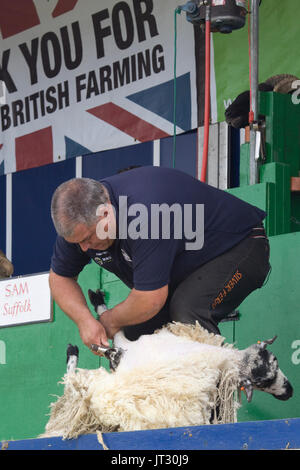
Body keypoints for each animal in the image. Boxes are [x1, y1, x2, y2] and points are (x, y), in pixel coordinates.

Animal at [39, 288, 292, 438]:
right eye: (267, 376)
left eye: (275, 364)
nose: (289, 392)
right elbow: (115, 333)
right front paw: (98, 301)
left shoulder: (124, 352)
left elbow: (115, 336)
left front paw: (98, 305)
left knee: (71, 387)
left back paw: (72, 354)